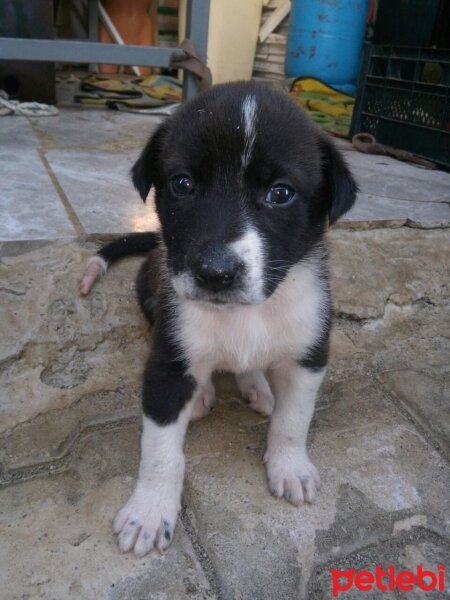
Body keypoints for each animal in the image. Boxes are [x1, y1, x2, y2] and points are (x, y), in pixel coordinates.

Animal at [80, 81, 356, 556]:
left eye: (280, 193)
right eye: (183, 183)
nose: (215, 272)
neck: (244, 315)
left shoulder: (309, 354)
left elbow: (294, 420)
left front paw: (290, 467)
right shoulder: (167, 364)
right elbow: (160, 451)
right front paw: (149, 511)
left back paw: (258, 386)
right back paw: (205, 394)